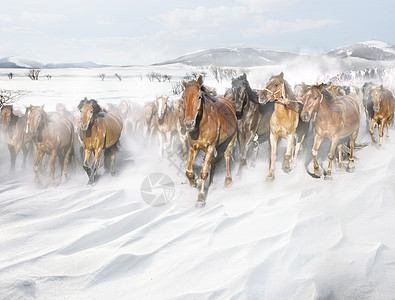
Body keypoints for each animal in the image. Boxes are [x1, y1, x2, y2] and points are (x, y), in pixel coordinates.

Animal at [183, 75, 238, 206]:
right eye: (183, 97)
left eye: (199, 97)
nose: (188, 124)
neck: (203, 124)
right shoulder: (194, 147)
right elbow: (188, 171)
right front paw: (194, 181)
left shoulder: (210, 147)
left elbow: (204, 173)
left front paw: (201, 197)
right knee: (213, 161)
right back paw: (212, 183)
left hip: (230, 139)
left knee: (227, 156)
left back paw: (228, 180)